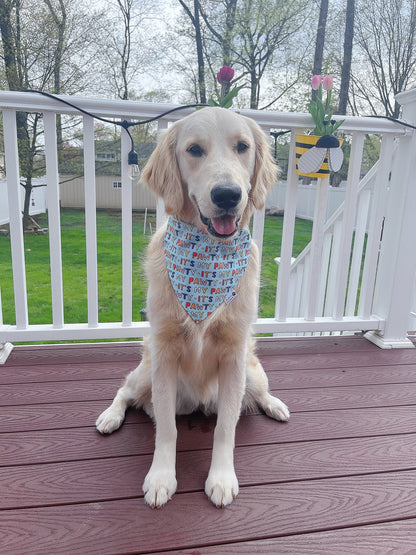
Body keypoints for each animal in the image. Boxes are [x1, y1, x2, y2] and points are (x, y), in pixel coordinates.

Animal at [96, 106, 290, 510]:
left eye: (243, 147)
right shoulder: (165, 352)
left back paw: (275, 404)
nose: (228, 195)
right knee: (125, 391)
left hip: (252, 372)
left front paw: (221, 478)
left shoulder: (234, 355)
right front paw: (160, 478)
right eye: (194, 150)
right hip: (146, 372)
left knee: (258, 393)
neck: (207, 258)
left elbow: (226, 426)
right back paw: (109, 416)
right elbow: (167, 429)